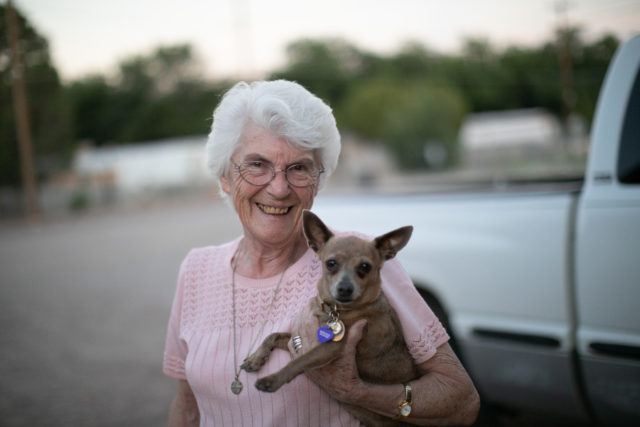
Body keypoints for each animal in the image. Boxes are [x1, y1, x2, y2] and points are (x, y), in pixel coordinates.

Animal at [241, 212, 420, 426]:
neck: (334, 310)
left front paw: (273, 380)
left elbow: (299, 361)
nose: (345, 288)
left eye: (365, 267)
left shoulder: (330, 348)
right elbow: (272, 336)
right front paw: (255, 359)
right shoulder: (297, 338)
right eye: (331, 263)